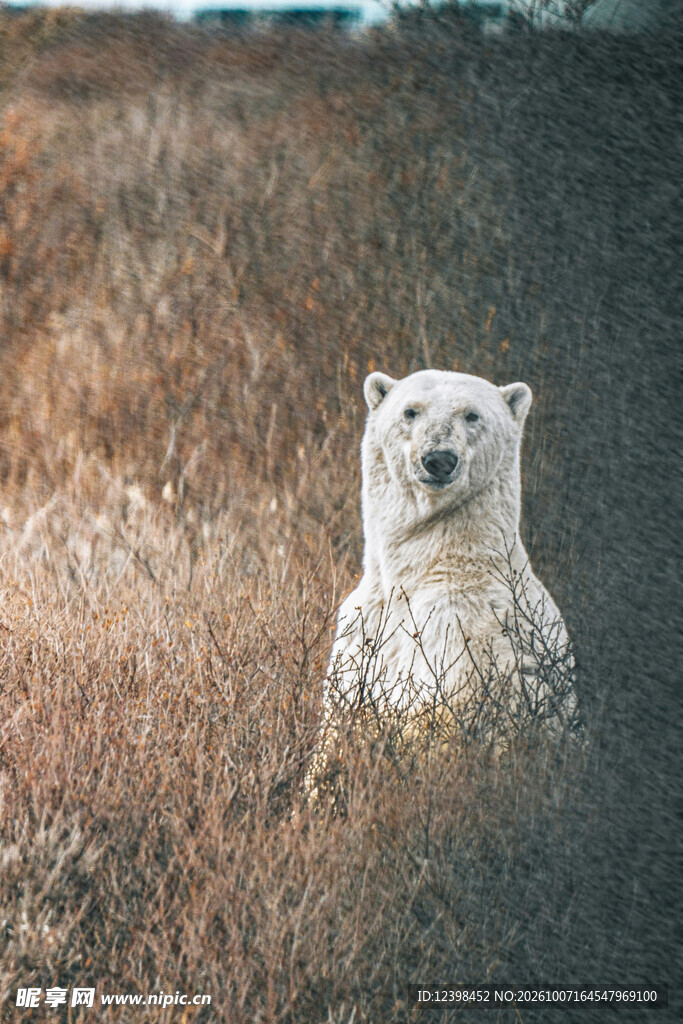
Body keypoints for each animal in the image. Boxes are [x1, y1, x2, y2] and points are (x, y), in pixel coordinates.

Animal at [326, 368, 581, 742]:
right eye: (410, 411)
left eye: (472, 415)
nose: (439, 459)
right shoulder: (362, 629)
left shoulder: (463, 634)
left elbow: (439, 715)